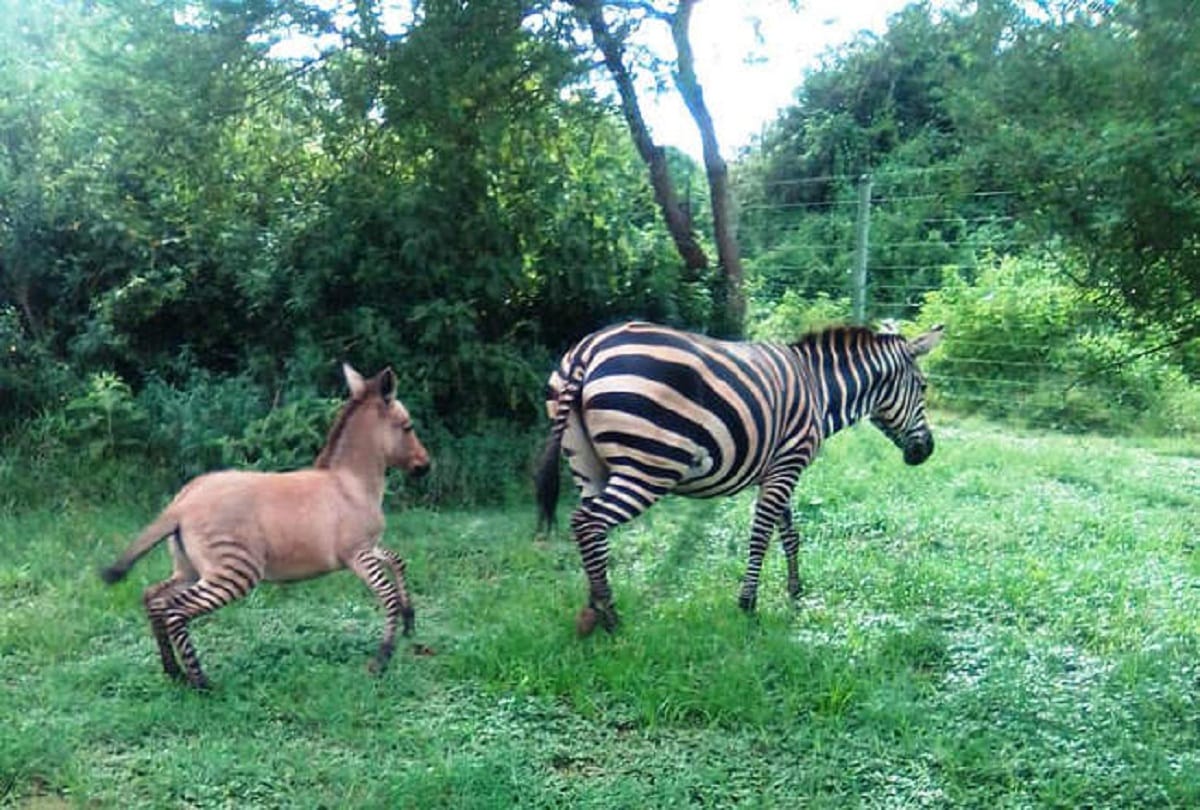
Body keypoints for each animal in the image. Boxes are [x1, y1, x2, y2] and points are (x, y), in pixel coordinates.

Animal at [534, 320, 944, 635]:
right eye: (923, 387)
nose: (926, 451)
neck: (820, 390)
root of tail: (588, 349)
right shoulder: (787, 464)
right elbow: (761, 535)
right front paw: (748, 604)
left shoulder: (778, 468)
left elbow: (790, 534)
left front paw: (795, 592)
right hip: (649, 467)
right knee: (588, 523)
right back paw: (610, 617)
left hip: (587, 465)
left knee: (591, 532)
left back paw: (592, 609)